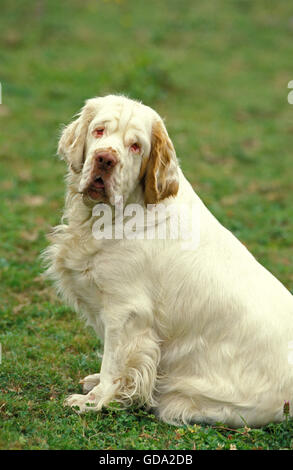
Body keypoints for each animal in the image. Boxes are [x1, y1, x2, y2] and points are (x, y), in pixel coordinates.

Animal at [43, 94, 292, 426]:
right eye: (99, 130)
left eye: (136, 146)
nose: (105, 159)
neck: (110, 216)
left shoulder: (126, 312)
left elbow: (114, 363)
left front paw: (93, 402)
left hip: (187, 402)